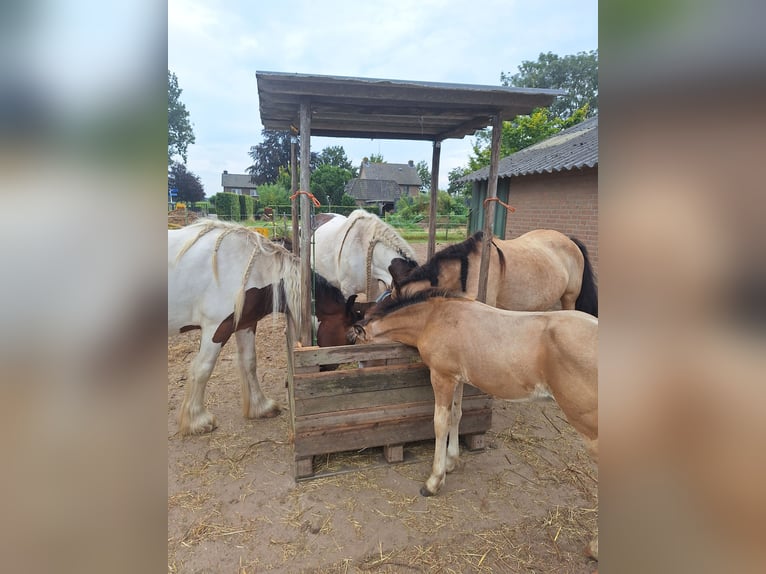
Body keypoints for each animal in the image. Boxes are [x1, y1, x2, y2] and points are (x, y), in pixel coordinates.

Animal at [170, 220, 358, 436]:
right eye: (350, 337)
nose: (325, 372)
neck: (247, 268)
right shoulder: (215, 328)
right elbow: (202, 369)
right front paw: (197, 421)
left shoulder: (244, 324)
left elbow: (249, 362)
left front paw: (260, 407)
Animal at [352, 290, 604, 560]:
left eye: (359, 351)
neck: (435, 317)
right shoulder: (458, 379)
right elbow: (456, 414)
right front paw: (451, 461)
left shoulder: (441, 377)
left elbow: (440, 423)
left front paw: (434, 481)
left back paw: (595, 548)